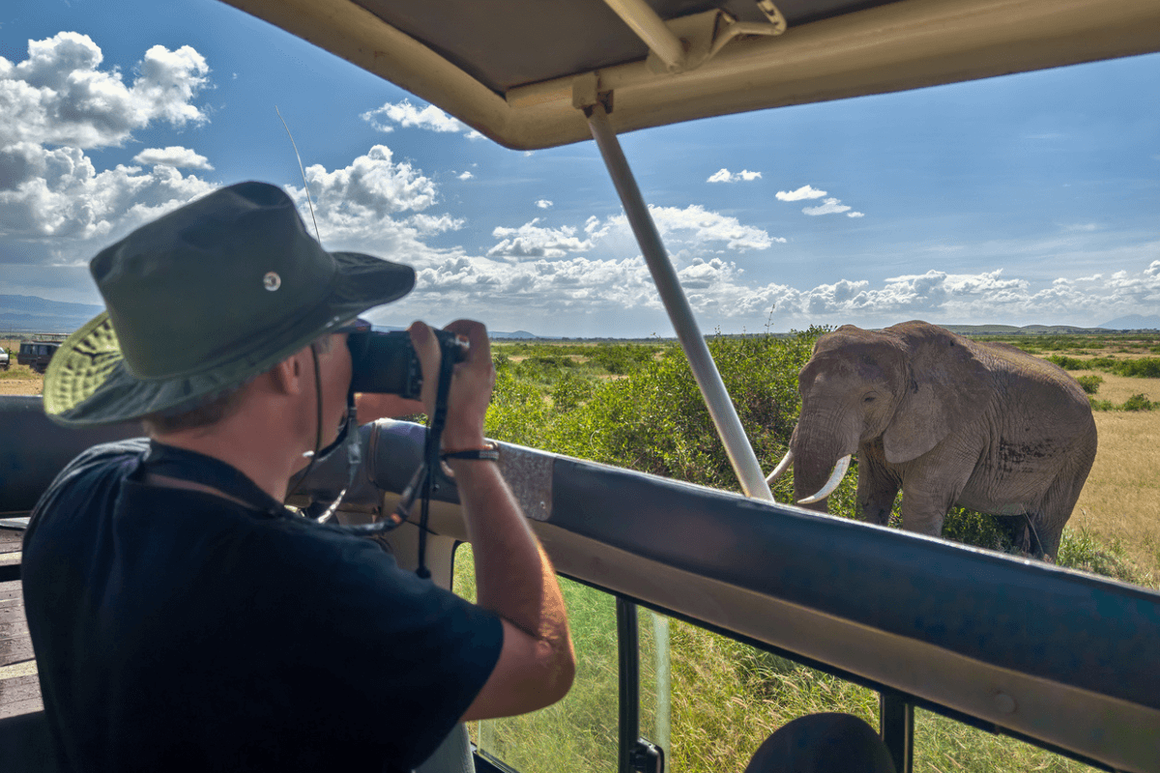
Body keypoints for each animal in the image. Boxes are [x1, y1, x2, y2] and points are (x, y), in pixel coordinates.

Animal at [767, 320, 1097, 560]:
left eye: (869, 398)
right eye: (800, 383)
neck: (895, 341)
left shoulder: (961, 428)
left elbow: (920, 504)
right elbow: (872, 494)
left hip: (1079, 456)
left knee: (1046, 525)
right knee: (1018, 521)